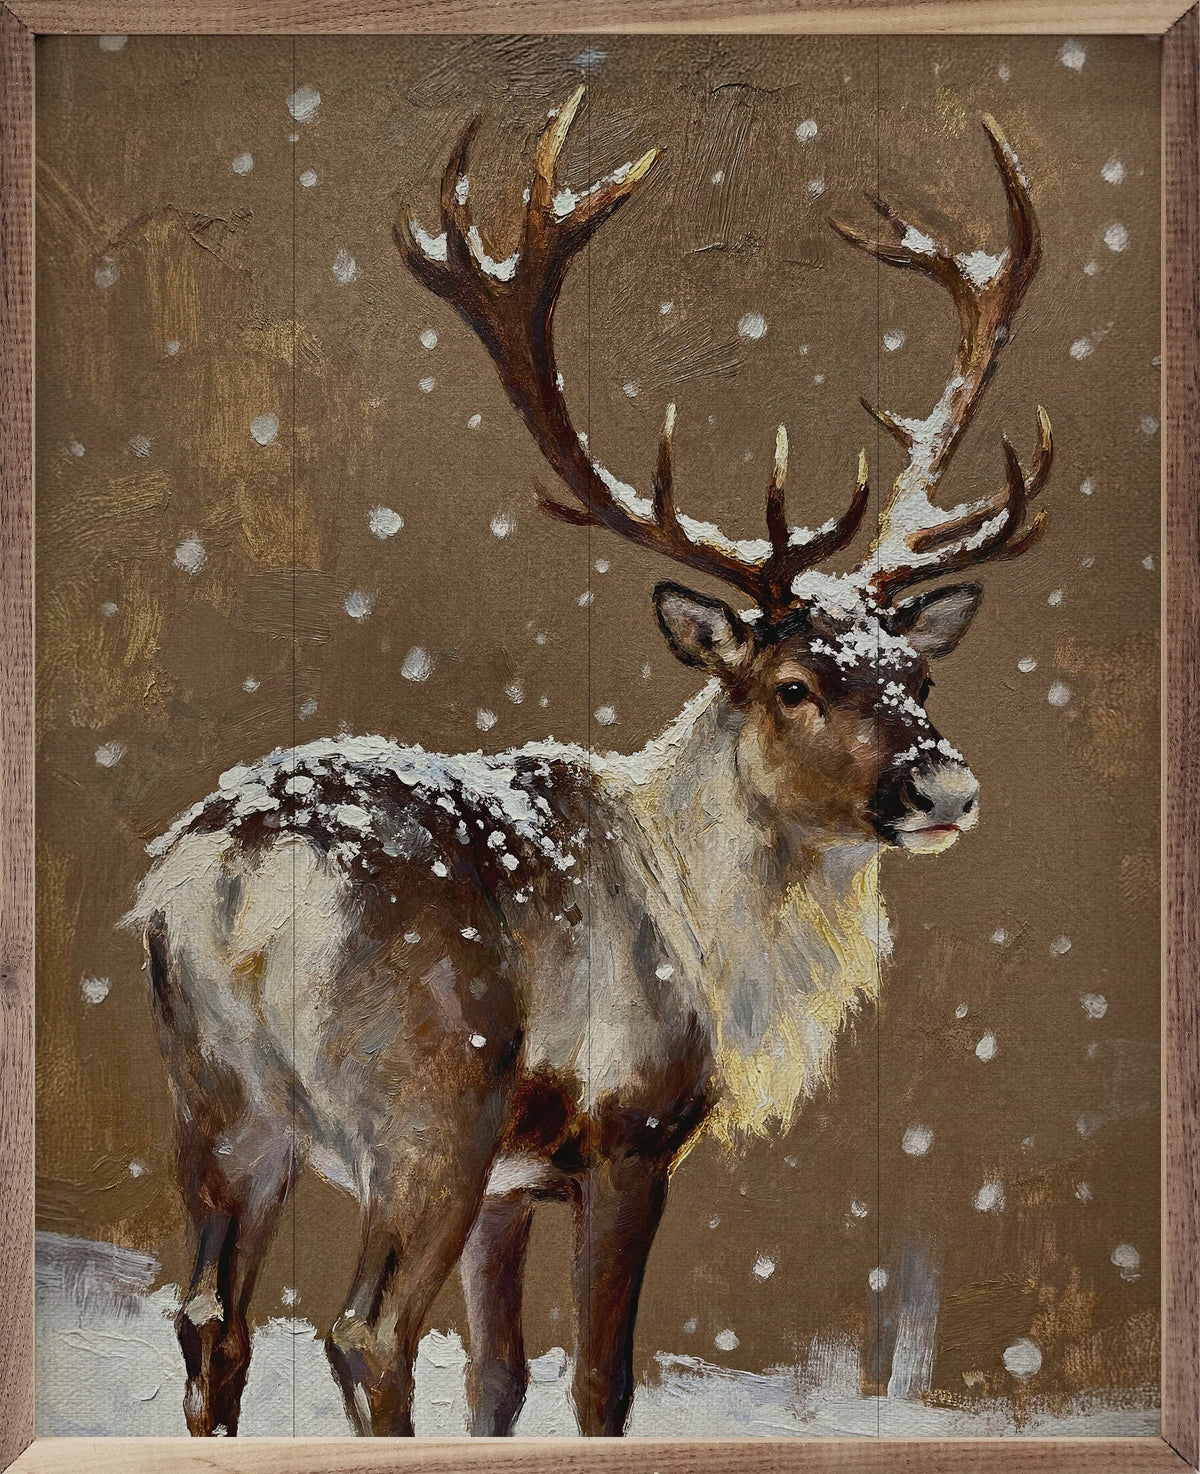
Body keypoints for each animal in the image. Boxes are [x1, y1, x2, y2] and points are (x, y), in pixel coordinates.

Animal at [125, 86, 1053, 1440]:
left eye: (916, 676)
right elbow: (601, 1377)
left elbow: (500, 1377)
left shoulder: (518, 1181)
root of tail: (235, 882)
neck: (717, 937)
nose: (946, 789)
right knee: (365, 1331)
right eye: (793, 684)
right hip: (425, 1110)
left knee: (210, 1319)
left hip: (218, 1098)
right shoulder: (628, 1137)